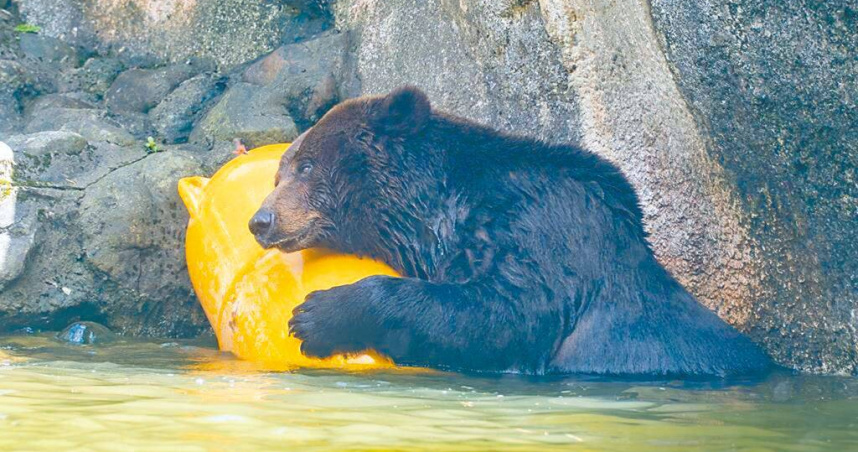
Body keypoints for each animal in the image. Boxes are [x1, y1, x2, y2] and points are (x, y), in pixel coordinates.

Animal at [249, 85, 772, 377]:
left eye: (307, 165)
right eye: (279, 173)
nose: (261, 221)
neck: (440, 213)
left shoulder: (542, 229)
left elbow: (507, 312)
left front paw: (316, 316)